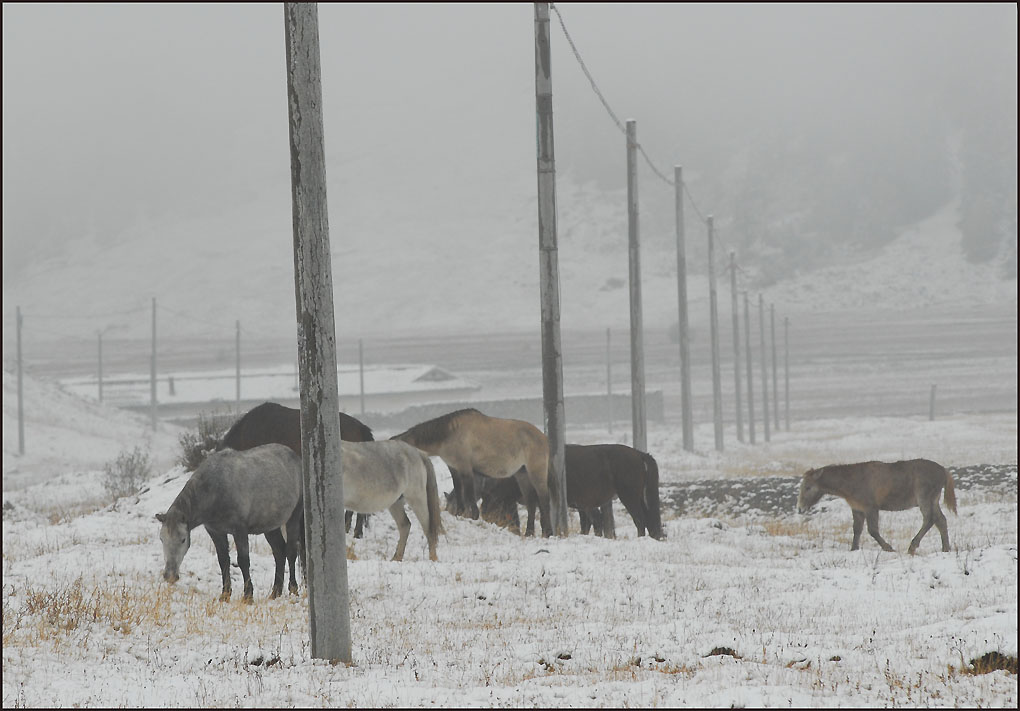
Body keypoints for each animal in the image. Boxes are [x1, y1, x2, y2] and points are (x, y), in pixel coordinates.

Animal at [153, 444, 299, 599]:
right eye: (162, 539)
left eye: (183, 539)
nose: (170, 576)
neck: (215, 489)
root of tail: (294, 456)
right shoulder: (216, 532)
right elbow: (223, 560)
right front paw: (225, 595)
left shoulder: (239, 531)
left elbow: (243, 561)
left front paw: (248, 596)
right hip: (270, 527)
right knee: (279, 552)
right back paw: (275, 592)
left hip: (293, 518)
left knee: (291, 552)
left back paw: (293, 589)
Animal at [389, 408, 554, 534]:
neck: (450, 433)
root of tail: (545, 439)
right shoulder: (454, 468)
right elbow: (459, 494)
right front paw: (460, 514)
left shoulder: (466, 469)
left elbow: (469, 496)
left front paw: (473, 516)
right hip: (522, 474)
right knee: (531, 503)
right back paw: (529, 533)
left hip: (536, 472)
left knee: (544, 500)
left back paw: (548, 533)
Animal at [795, 456, 954, 550]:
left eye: (808, 487)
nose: (800, 509)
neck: (848, 485)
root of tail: (944, 471)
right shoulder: (857, 508)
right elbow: (857, 530)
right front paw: (854, 548)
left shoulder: (871, 507)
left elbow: (872, 530)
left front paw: (888, 547)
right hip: (934, 499)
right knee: (941, 520)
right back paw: (945, 548)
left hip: (924, 497)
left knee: (929, 519)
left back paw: (913, 546)